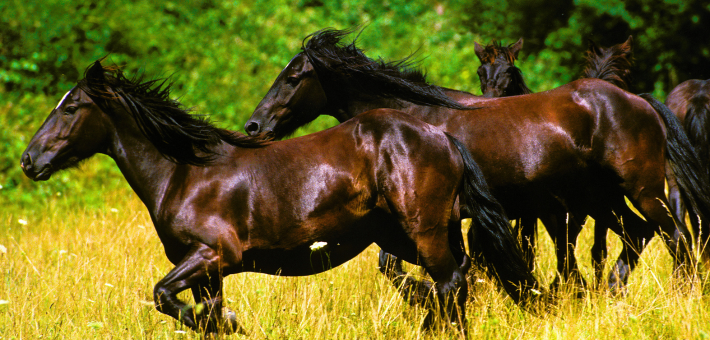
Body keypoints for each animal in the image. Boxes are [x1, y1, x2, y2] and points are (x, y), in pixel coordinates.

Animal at [19, 59, 544, 334]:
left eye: (72, 107)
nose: (28, 160)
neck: (183, 173)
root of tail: (443, 138)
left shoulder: (212, 254)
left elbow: (164, 295)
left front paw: (234, 322)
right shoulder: (209, 273)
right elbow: (200, 315)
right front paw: (226, 322)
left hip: (425, 232)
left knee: (450, 283)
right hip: (416, 234)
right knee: (456, 281)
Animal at [243, 27, 710, 292]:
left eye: (293, 77)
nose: (253, 126)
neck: (415, 117)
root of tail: (640, 101)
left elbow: (402, 268)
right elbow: (397, 267)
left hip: (641, 190)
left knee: (676, 237)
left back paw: (683, 293)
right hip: (598, 200)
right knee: (637, 234)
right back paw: (611, 290)